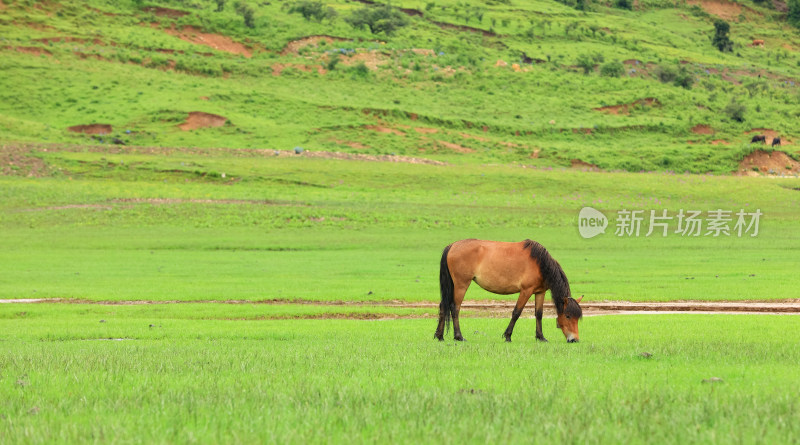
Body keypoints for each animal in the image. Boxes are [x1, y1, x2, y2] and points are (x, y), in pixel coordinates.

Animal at [434, 238, 584, 342]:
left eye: (577, 317)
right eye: (568, 316)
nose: (574, 340)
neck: (540, 264)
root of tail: (452, 246)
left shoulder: (540, 292)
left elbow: (539, 314)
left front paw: (541, 337)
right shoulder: (526, 291)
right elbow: (516, 312)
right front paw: (507, 336)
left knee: (443, 306)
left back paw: (439, 336)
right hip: (461, 285)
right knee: (455, 308)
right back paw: (459, 336)